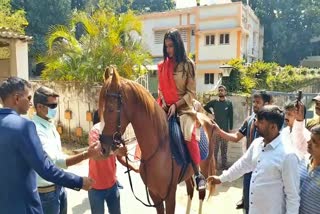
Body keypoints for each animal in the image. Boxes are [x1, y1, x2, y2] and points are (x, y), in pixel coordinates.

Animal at [99, 67, 216, 214]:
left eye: (110, 109)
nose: (103, 148)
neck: (159, 147)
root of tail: (208, 120)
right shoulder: (154, 194)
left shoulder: (170, 195)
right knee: (190, 190)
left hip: (204, 170)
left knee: (201, 194)